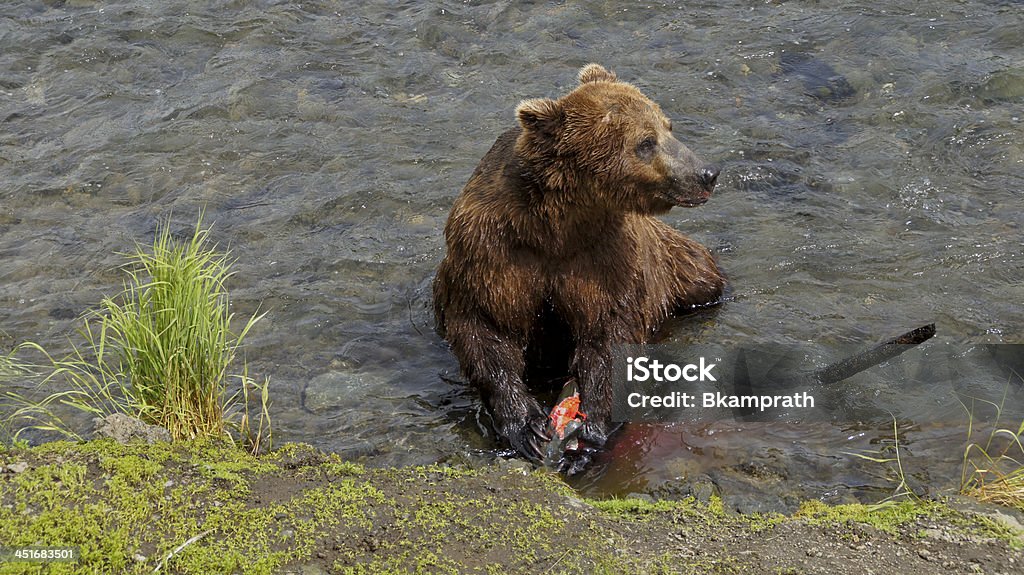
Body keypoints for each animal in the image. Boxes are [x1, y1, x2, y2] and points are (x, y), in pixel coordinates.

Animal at [436, 63, 724, 460]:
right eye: (645, 142)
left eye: (668, 126)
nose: (707, 173)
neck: (559, 224)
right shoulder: (492, 250)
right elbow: (486, 327)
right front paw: (526, 426)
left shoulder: (607, 258)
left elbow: (608, 335)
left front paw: (589, 433)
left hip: (680, 267)